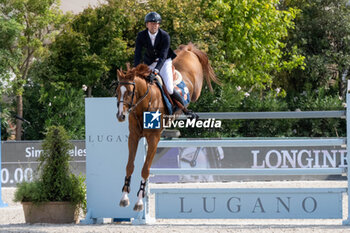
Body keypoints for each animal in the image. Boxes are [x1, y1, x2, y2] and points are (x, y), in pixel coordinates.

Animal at [115, 42, 219, 211]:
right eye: (117, 91)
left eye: (130, 92)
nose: (120, 116)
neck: (144, 104)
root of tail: (188, 50)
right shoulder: (134, 137)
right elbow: (129, 166)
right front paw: (124, 198)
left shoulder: (153, 139)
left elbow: (145, 169)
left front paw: (139, 202)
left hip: (196, 88)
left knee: (192, 93)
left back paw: (189, 111)